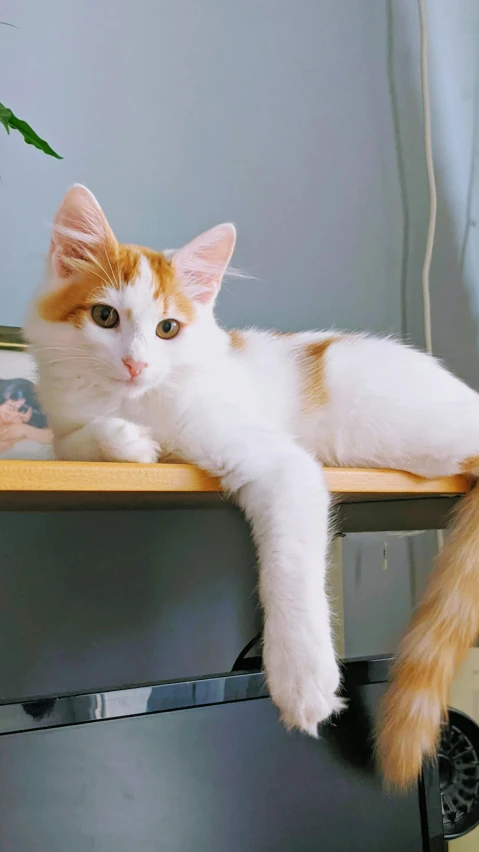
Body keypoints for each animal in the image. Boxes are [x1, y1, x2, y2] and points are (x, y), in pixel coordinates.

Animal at [24, 185, 479, 784]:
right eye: (105, 317)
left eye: (168, 329)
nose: (135, 364)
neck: (138, 400)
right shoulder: (67, 424)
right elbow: (72, 441)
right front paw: (127, 442)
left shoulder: (283, 467)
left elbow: (287, 573)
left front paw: (302, 678)